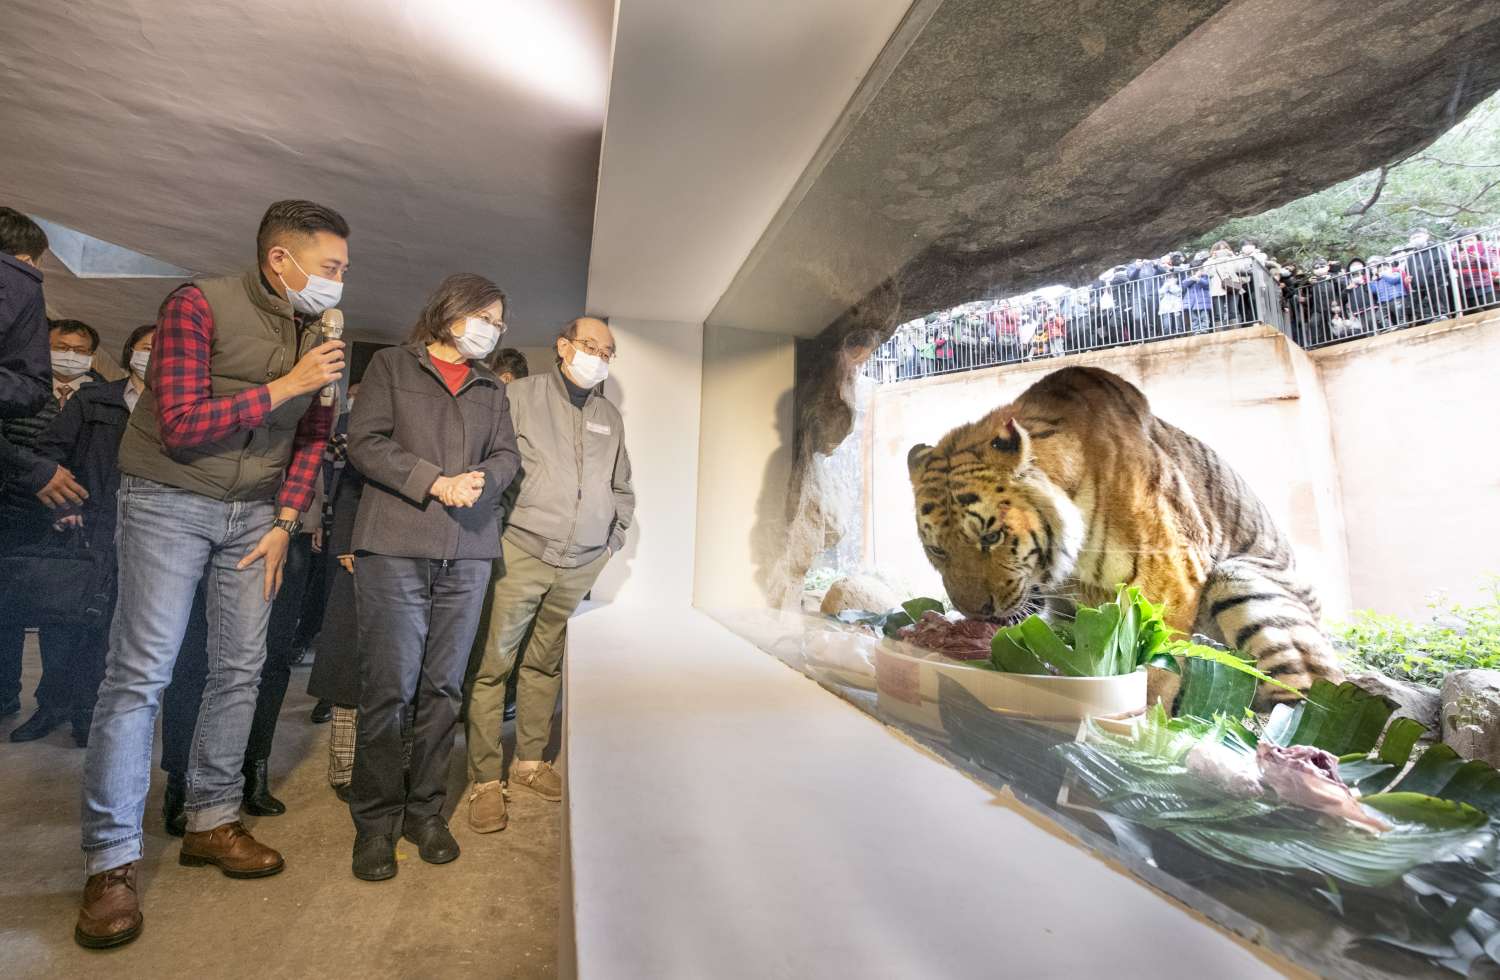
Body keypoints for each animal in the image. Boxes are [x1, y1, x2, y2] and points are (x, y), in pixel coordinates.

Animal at [906, 363, 1344, 699]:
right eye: (938, 550)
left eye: (991, 537)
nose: (974, 612)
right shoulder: (1069, 612)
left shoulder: (1170, 582)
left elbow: (1156, 669)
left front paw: (1144, 722)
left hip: (1239, 581)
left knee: (1300, 692)